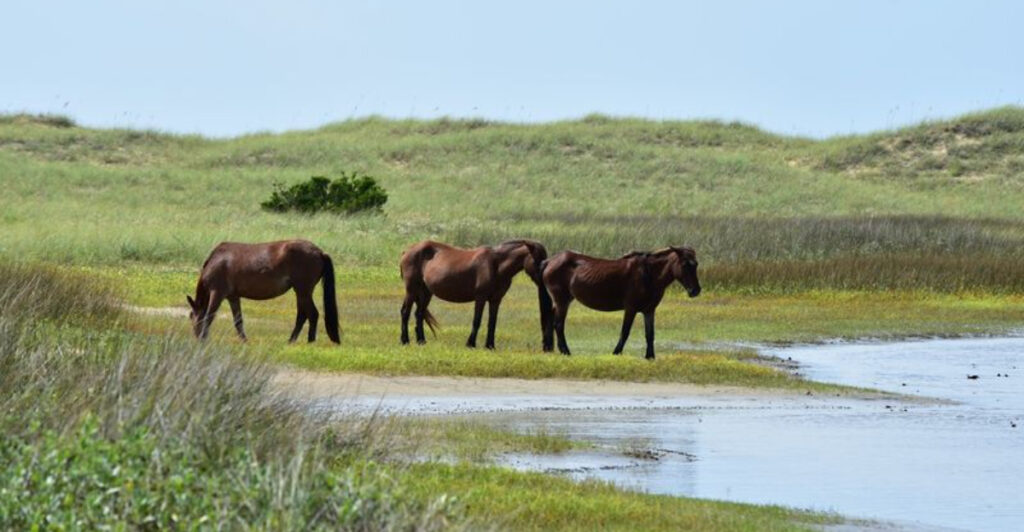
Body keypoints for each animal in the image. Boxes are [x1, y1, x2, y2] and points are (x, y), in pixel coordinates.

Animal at [186, 240, 340, 343]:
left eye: (192, 317)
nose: (197, 337)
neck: (216, 260)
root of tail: (320, 252)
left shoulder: (217, 293)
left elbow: (209, 316)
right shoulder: (233, 297)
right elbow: (238, 320)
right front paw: (244, 341)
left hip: (303, 291)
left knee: (312, 314)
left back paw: (309, 342)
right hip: (301, 292)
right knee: (303, 316)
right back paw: (292, 340)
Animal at [399, 239, 553, 350]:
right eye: (538, 260)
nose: (544, 277)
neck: (496, 265)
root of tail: (407, 251)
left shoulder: (496, 300)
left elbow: (492, 322)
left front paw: (490, 345)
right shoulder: (480, 298)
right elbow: (477, 321)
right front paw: (471, 343)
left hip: (426, 292)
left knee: (419, 314)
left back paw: (421, 341)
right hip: (411, 290)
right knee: (405, 312)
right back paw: (404, 340)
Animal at [540, 246, 700, 359]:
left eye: (696, 264)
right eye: (685, 264)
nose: (696, 291)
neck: (648, 274)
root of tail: (550, 261)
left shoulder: (649, 310)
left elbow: (650, 334)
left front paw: (650, 356)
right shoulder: (630, 308)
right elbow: (625, 332)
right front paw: (616, 353)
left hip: (562, 301)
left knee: (551, 321)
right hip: (562, 301)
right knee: (558, 325)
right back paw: (566, 351)